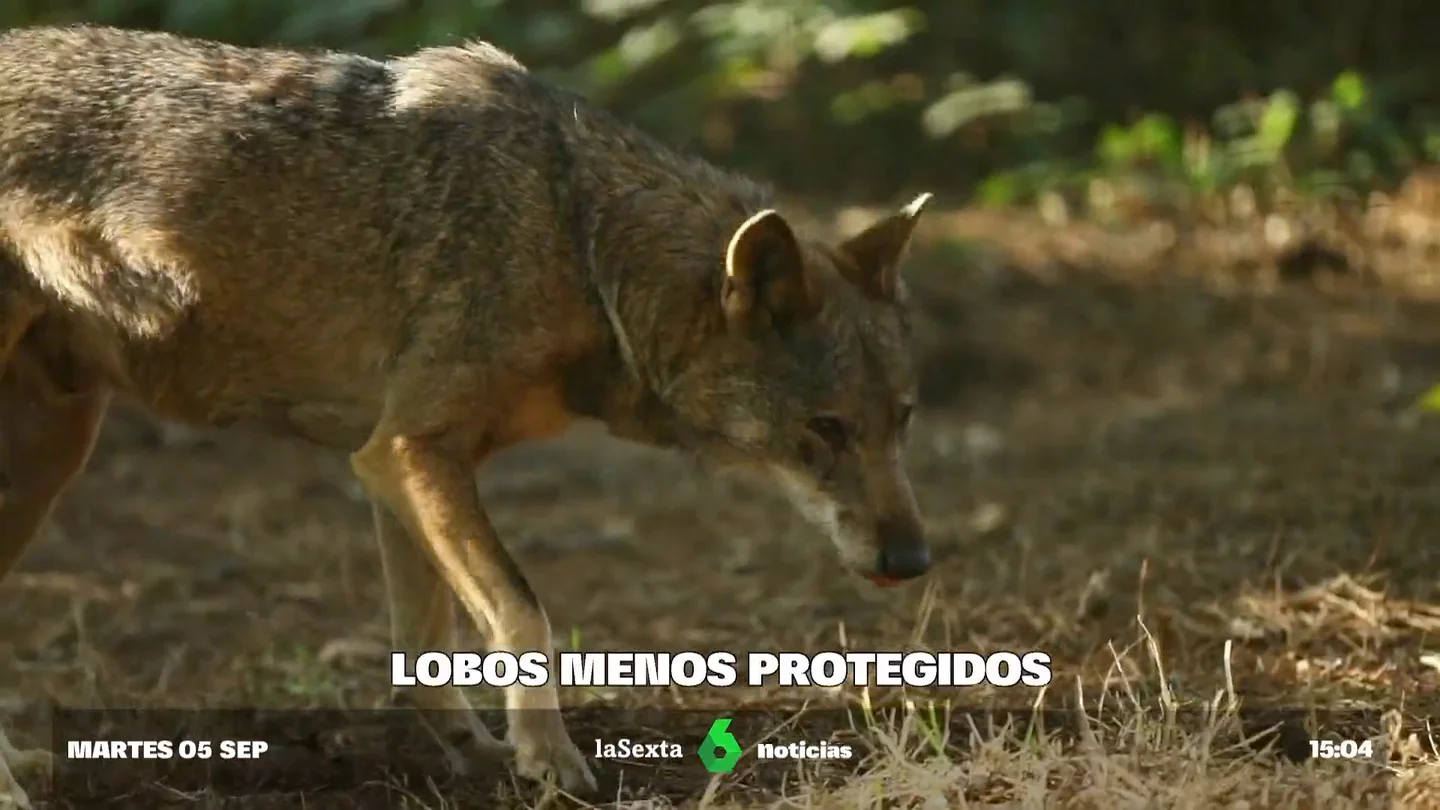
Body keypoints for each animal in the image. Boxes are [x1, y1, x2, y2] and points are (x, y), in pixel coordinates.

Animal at [0, 24, 931, 805]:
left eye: (903, 420)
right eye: (826, 430)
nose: (913, 560)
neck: (576, 238)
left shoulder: (390, 464)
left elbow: (424, 647)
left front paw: (479, 754)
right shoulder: (412, 449)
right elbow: (524, 612)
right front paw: (552, 762)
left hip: (52, 452)